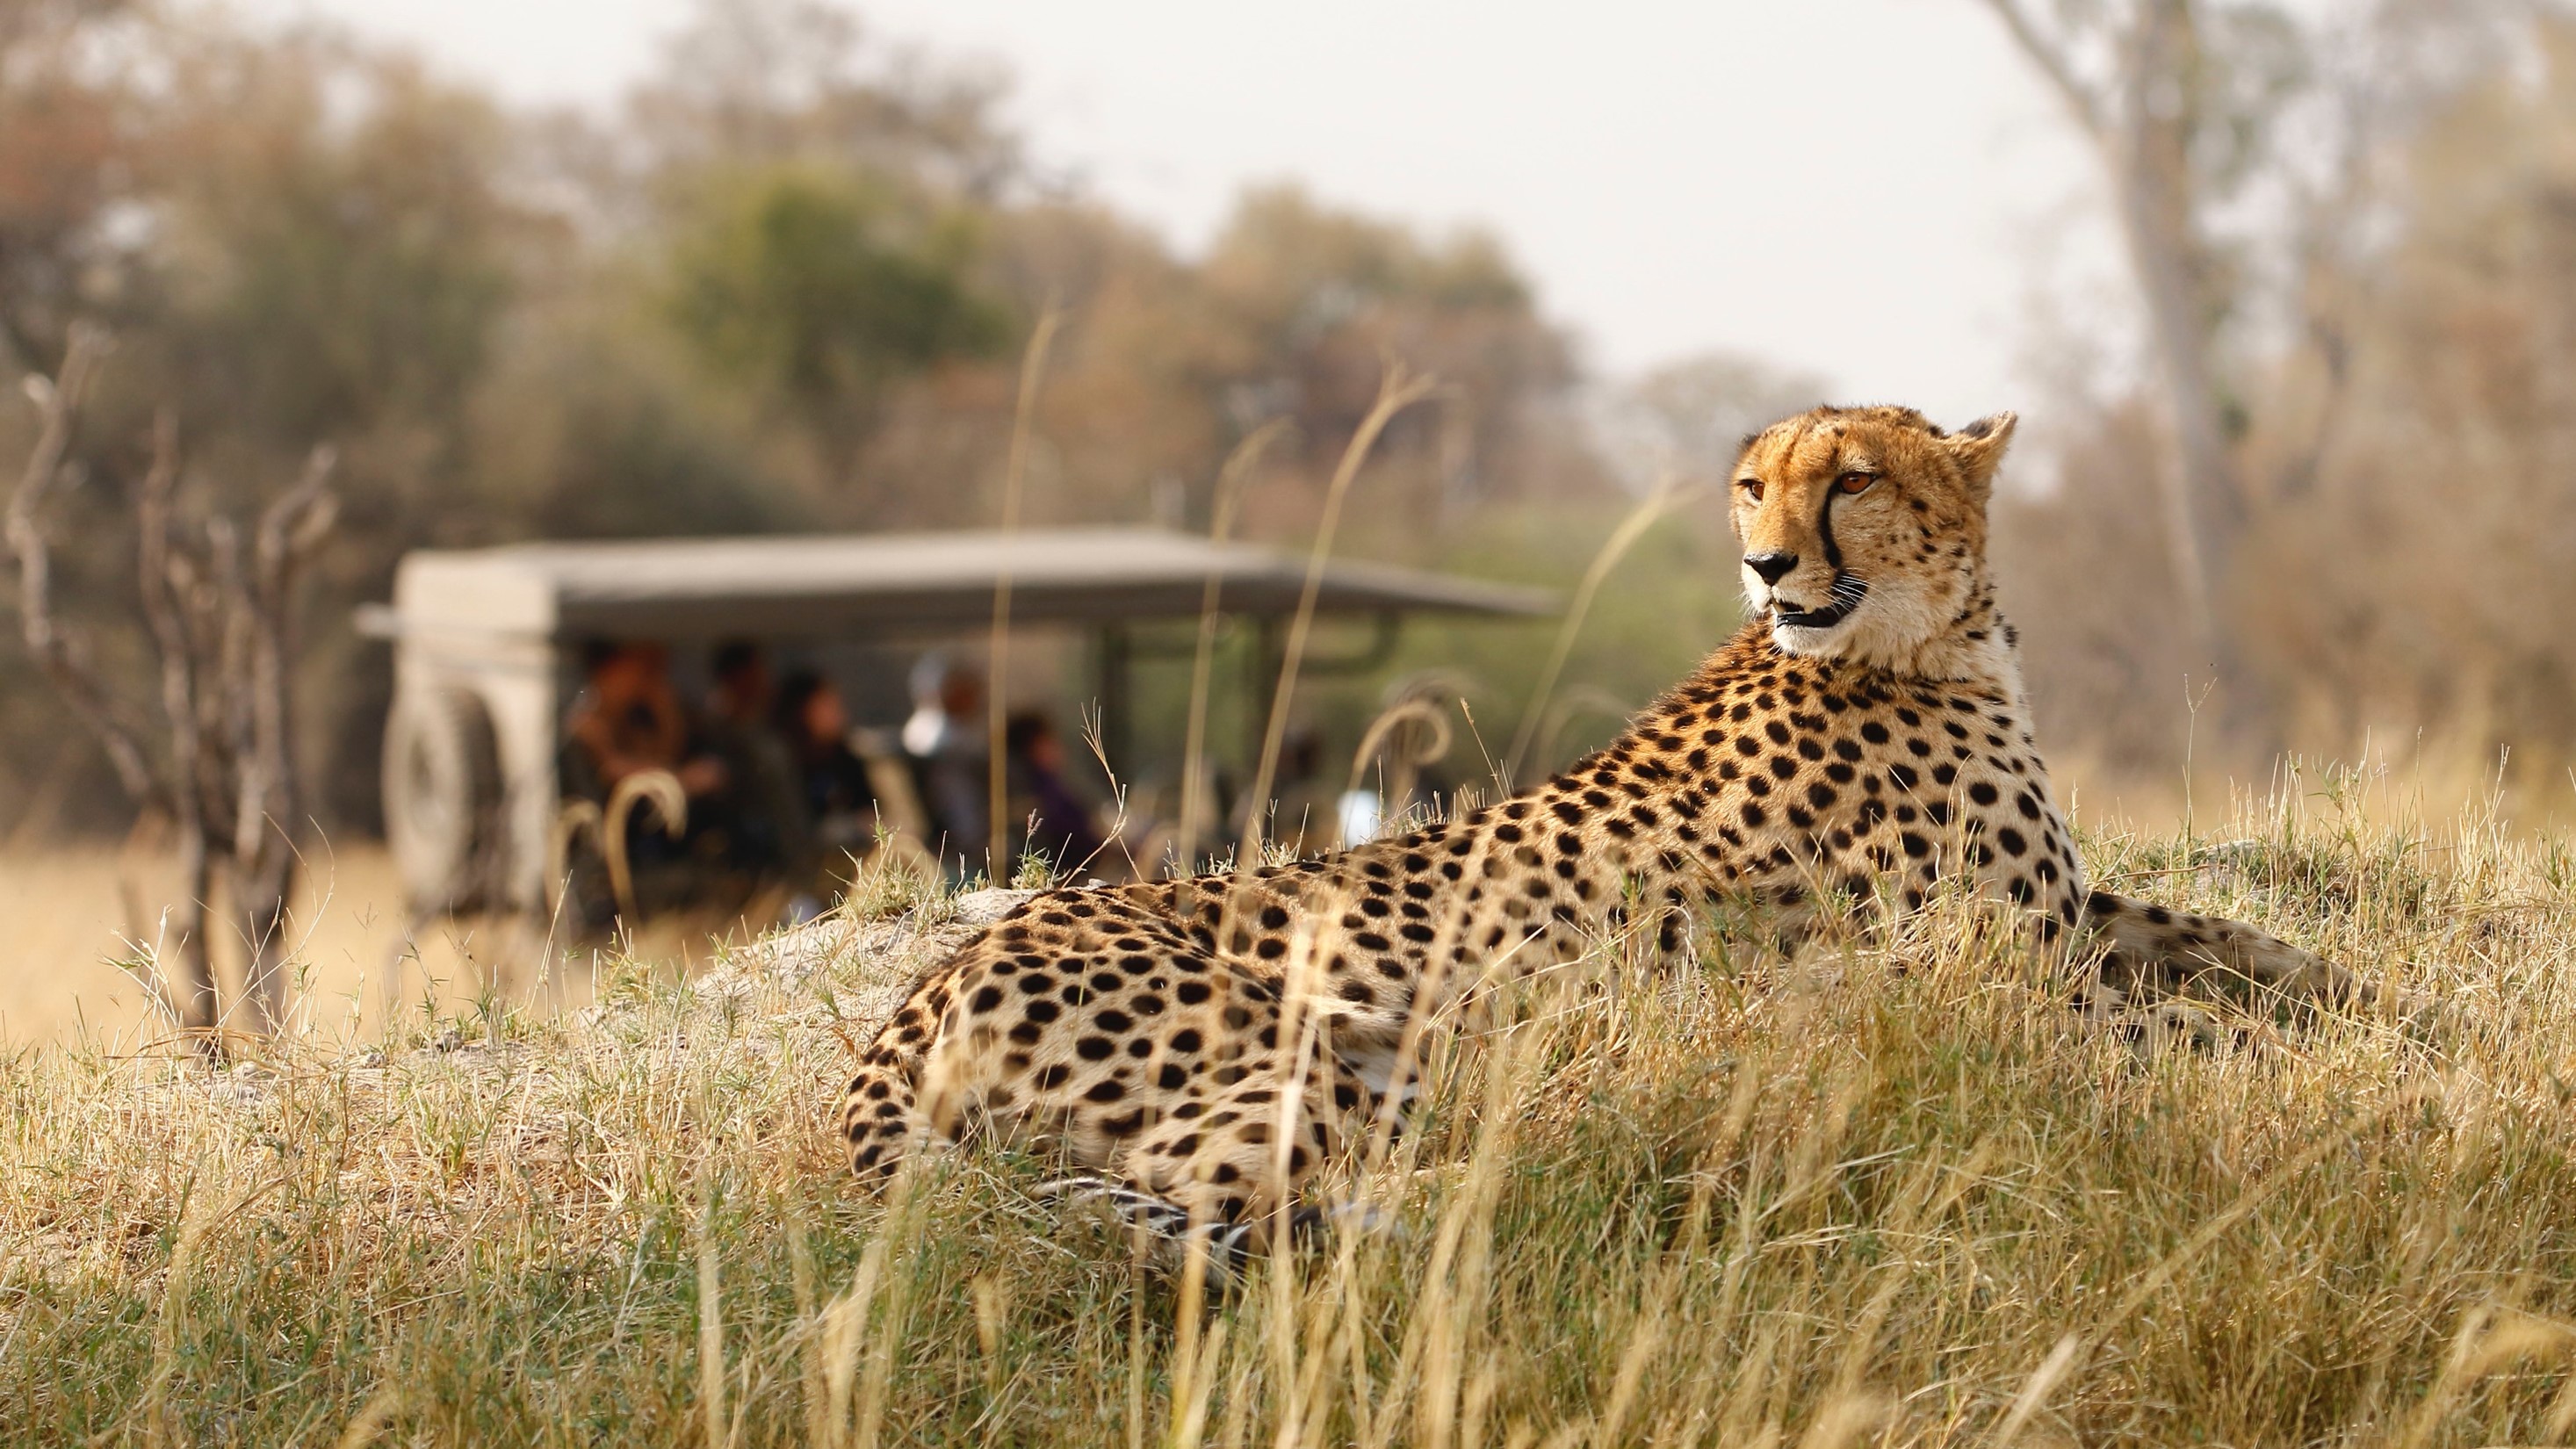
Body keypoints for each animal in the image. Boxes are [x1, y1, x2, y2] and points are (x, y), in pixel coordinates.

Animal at [838, 404, 2385, 1253]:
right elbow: (2177, 1021)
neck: (1925, 636)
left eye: (1852, 478)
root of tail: (927, 985)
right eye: (1755, 485)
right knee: (1198, 1190)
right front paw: (2335, 1057)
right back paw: (1507, 1183)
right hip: (1342, 1044)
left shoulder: (2061, 913)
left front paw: (2366, 998)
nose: (1765, 560)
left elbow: (2227, 938)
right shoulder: (1991, 961)